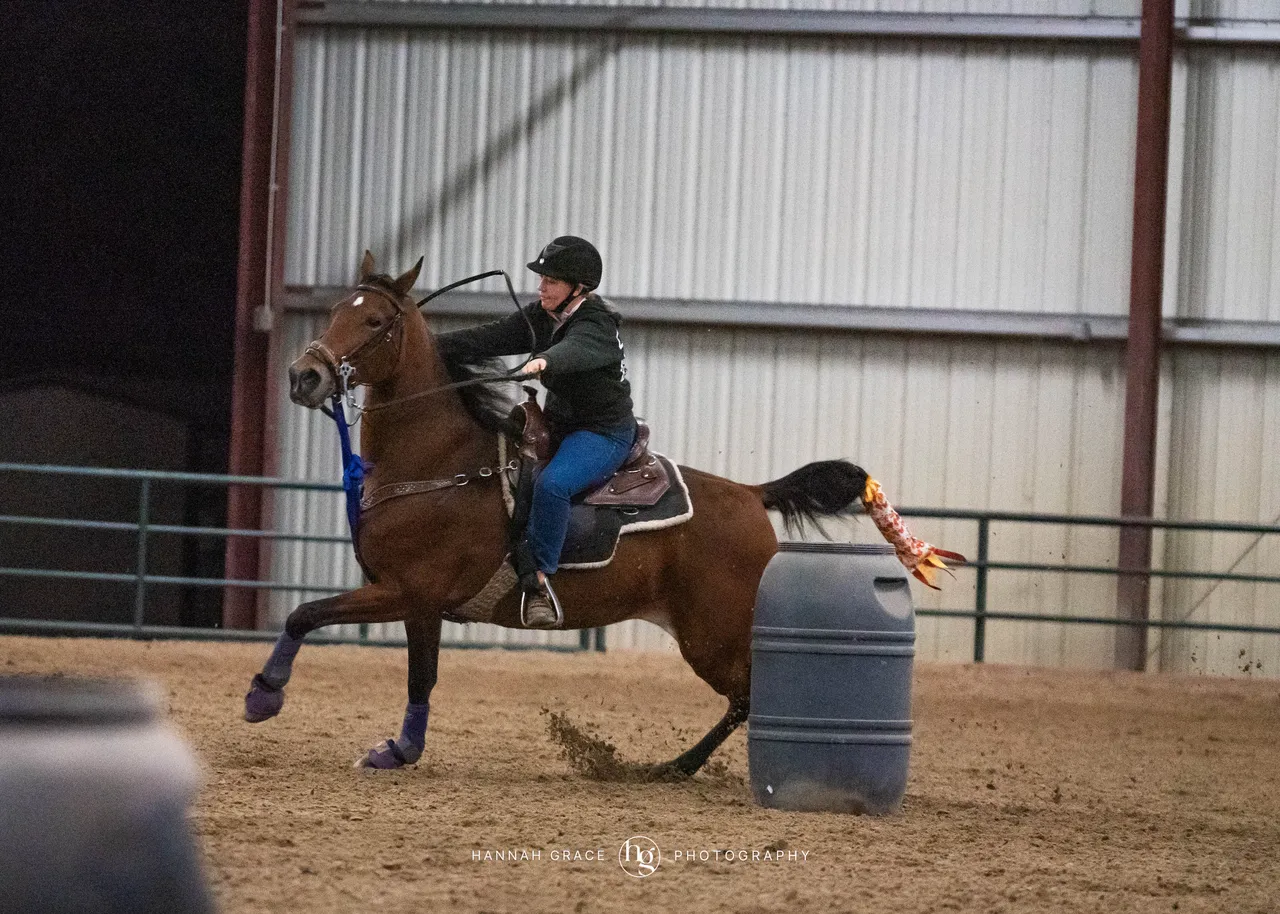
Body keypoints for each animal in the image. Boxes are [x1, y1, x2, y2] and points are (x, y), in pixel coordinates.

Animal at [244, 252, 961, 774]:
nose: (304, 377)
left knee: (749, 695)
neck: (441, 464)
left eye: (375, 323)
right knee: (749, 696)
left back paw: (678, 766)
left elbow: (322, 622)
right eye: (335, 311)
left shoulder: (411, 592)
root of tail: (749, 493)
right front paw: (388, 743)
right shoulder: (411, 601)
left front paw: (267, 697)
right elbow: (383, 656)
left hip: (712, 634)